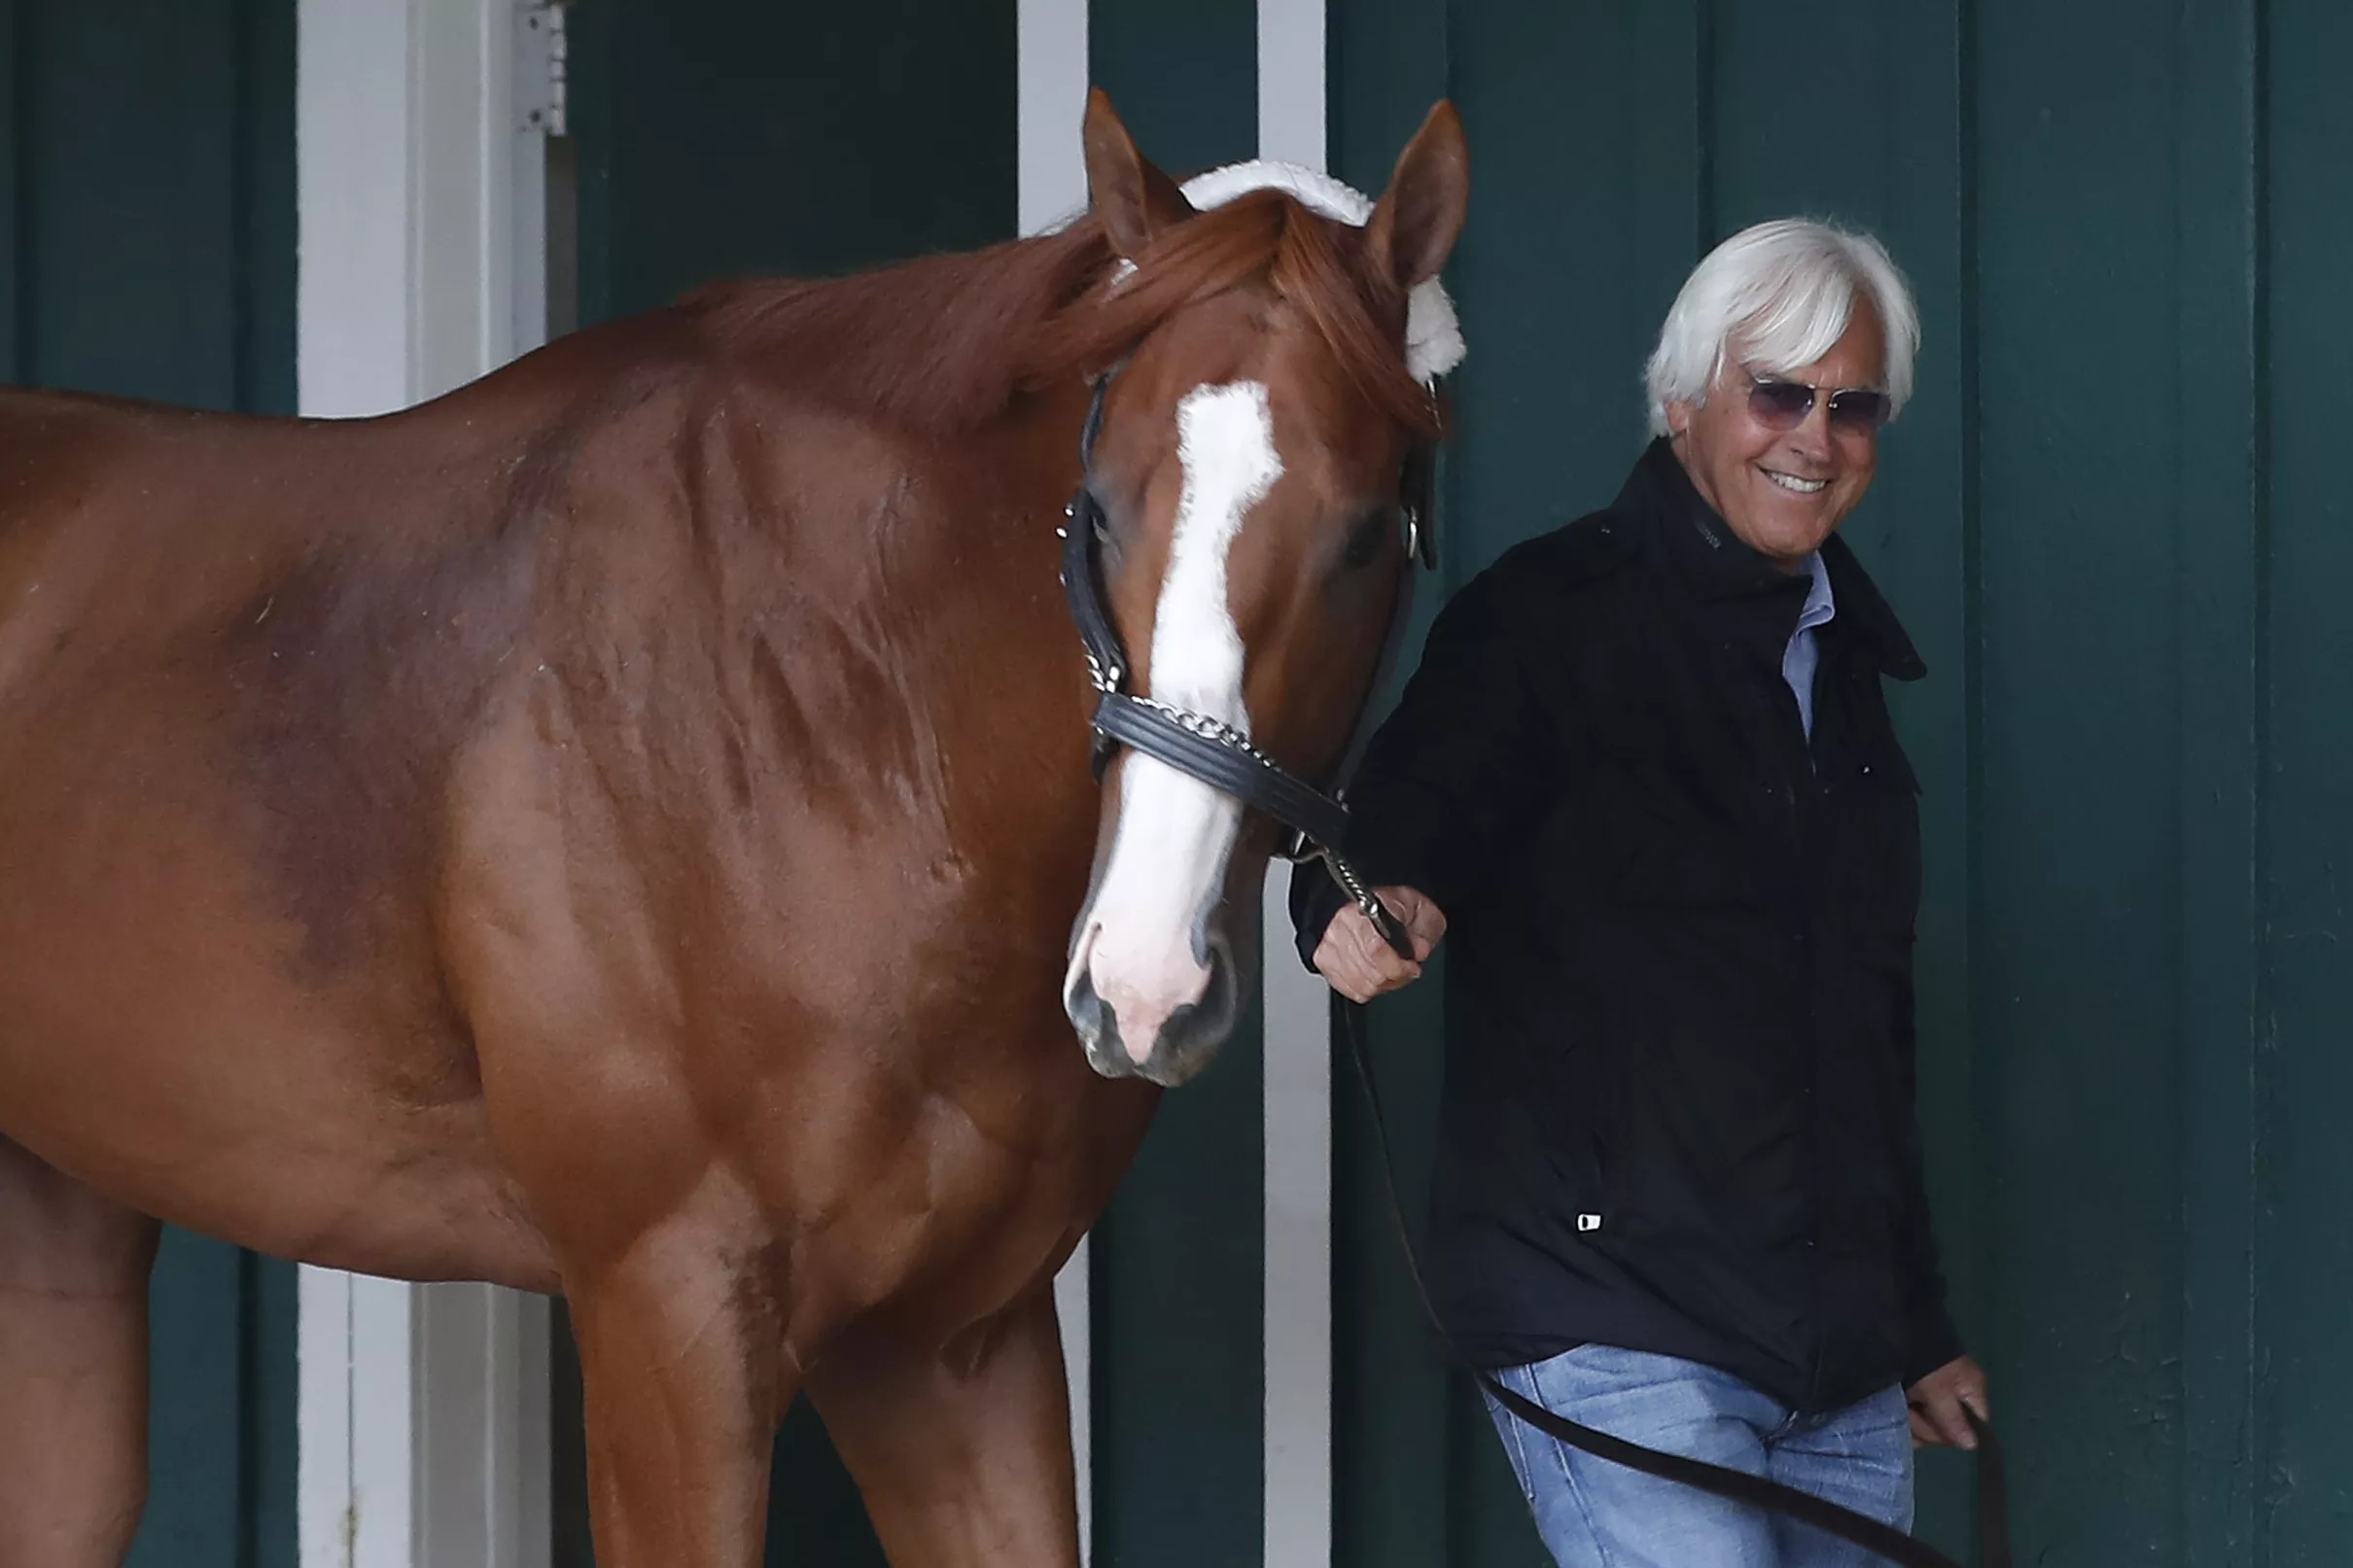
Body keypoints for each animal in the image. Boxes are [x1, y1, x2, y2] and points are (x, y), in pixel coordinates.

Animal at [0, 91, 1458, 1560]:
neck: (823, 713)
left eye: (1364, 536)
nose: (1142, 981)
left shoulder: (950, 1346)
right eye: (1095, 508)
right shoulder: (666, 1317)